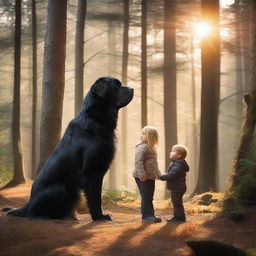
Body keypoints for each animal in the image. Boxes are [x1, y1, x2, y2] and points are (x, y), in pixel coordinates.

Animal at [6, 77, 134, 221]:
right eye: (116, 86)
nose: (132, 89)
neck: (95, 119)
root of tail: (28, 204)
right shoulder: (92, 170)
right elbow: (95, 198)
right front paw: (100, 216)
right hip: (59, 188)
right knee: (36, 213)